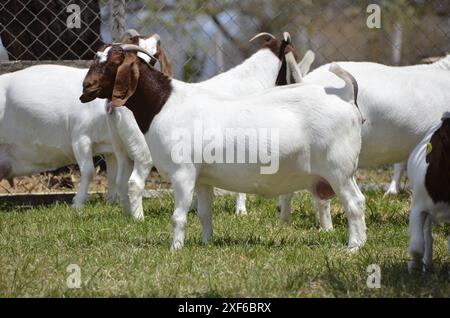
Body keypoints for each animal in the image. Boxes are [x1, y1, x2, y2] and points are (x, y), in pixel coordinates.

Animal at [80, 44, 366, 251]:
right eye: (96, 58)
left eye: (113, 62)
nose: (86, 86)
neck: (165, 104)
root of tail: (345, 97)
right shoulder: (203, 178)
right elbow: (205, 214)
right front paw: (206, 243)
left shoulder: (183, 173)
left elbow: (178, 215)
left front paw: (175, 249)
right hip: (344, 172)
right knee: (359, 201)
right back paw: (360, 243)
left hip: (338, 169)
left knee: (354, 202)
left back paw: (353, 247)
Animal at [408, 112, 450, 274]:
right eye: (443, 137)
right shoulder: (418, 209)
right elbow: (417, 245)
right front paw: (414, 267)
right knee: (427, 236)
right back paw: (428, 264)